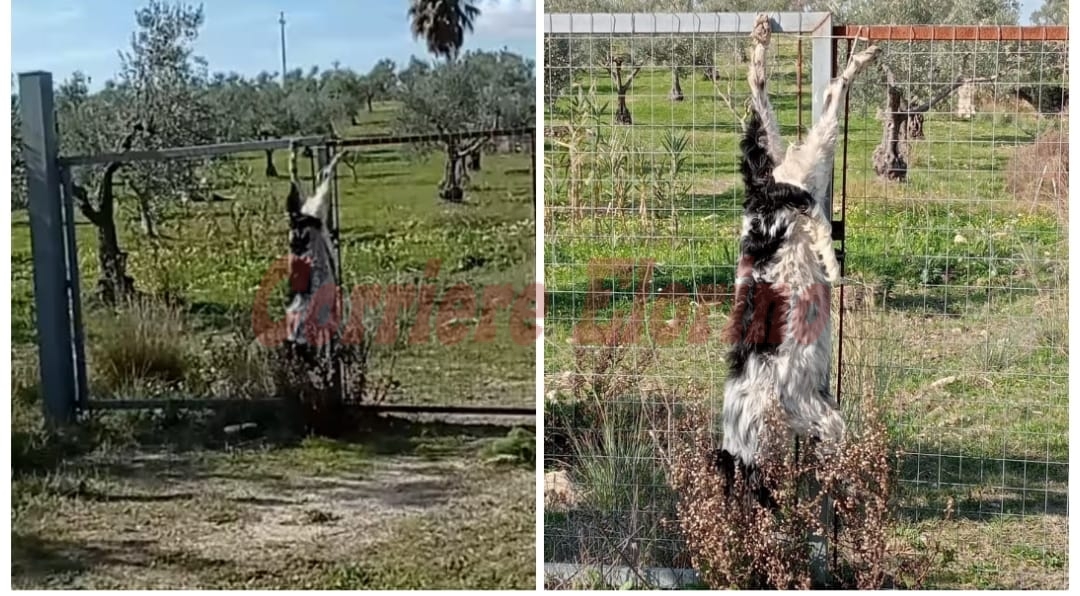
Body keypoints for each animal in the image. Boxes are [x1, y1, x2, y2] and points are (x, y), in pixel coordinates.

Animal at [717, 15, 876, 503]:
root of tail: (760, 193)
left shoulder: (814, 409)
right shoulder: (820, 408)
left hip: (799, 175)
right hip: (803, 167)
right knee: (779, 99)